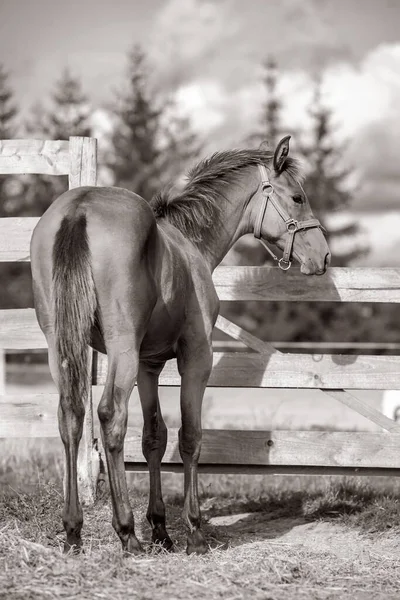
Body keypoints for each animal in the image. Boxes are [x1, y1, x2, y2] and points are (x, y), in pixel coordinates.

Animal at [30, 134, 332, 556]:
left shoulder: (148, 365)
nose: (322, 255)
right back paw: (126, 532)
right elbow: (190, 437)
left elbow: (154, 437)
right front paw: (193, 530)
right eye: (298, 197)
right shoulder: (196, 358)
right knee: (109, 416)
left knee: (70, 416)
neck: (190, 244)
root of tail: (80, 208)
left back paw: (74, 531)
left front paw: (161, 527)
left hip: (60, 344)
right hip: (121, 349)